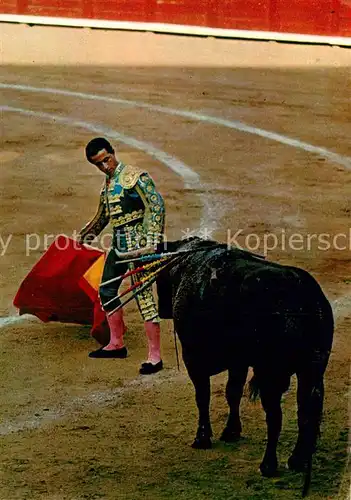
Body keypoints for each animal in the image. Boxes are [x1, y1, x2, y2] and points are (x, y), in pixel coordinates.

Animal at [157, 238, 336, 496]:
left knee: (275, 417)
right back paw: (297, 459)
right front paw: (231, 431)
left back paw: (268, 465)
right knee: (306, 412)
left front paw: (202, 438)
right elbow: (232, 392)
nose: (162, 310)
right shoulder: (238, 361)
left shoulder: (194, 358)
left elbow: (203, 397)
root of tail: (306, 295)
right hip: (312, 371)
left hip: (272, 375)